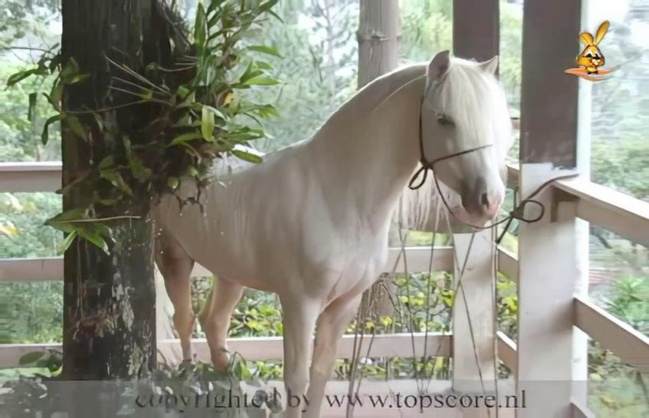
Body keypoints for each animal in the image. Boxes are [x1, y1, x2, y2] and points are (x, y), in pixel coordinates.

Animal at [153, 50, 513, 418]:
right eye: (444, 119)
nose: (489, 200)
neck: (335, 194)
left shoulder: (344, 305)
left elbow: (320, 375)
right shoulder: (300, 304)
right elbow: (296, 379)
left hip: (230, 273)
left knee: (214, 324)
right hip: (173, 257)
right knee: (185, 322)